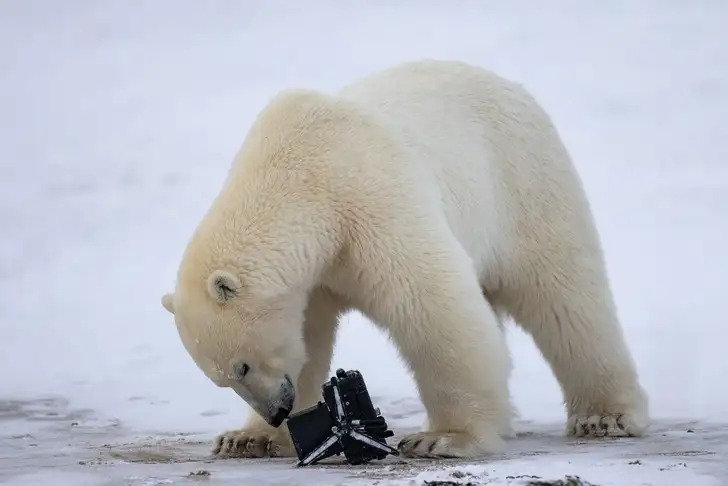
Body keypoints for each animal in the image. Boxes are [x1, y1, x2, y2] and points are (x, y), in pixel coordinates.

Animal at [159, 59, 648, 460]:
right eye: (222, 379)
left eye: (241, 365)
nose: (277, 410)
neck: (298, 179)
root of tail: (510, 85)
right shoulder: (313, 274)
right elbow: (308, 341)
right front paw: (246, 439)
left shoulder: (367, 204)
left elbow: (430, 305)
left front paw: (443, 438)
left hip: (523, 182)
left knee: (564, 297)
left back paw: (605, 416)